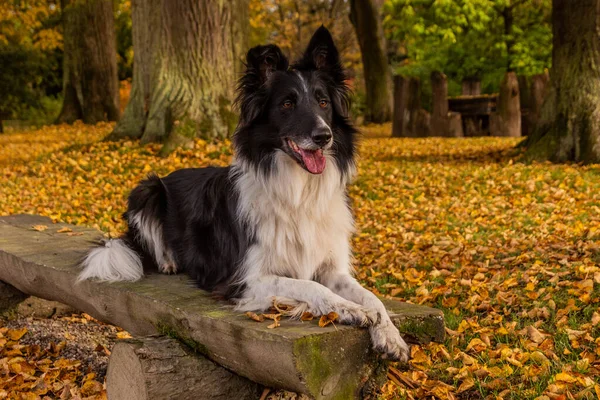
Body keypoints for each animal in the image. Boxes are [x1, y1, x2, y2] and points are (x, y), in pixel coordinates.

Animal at [78, 25, 408, 362]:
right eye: (287, 104)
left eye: (324, 102)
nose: (323, 136)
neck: (298, 192)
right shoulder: (246, 280)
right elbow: (309, 286)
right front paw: (347, 309)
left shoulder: (332, 268)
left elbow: (372, 297)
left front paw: (389, 334)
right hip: (147, 189)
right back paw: (169, 261)